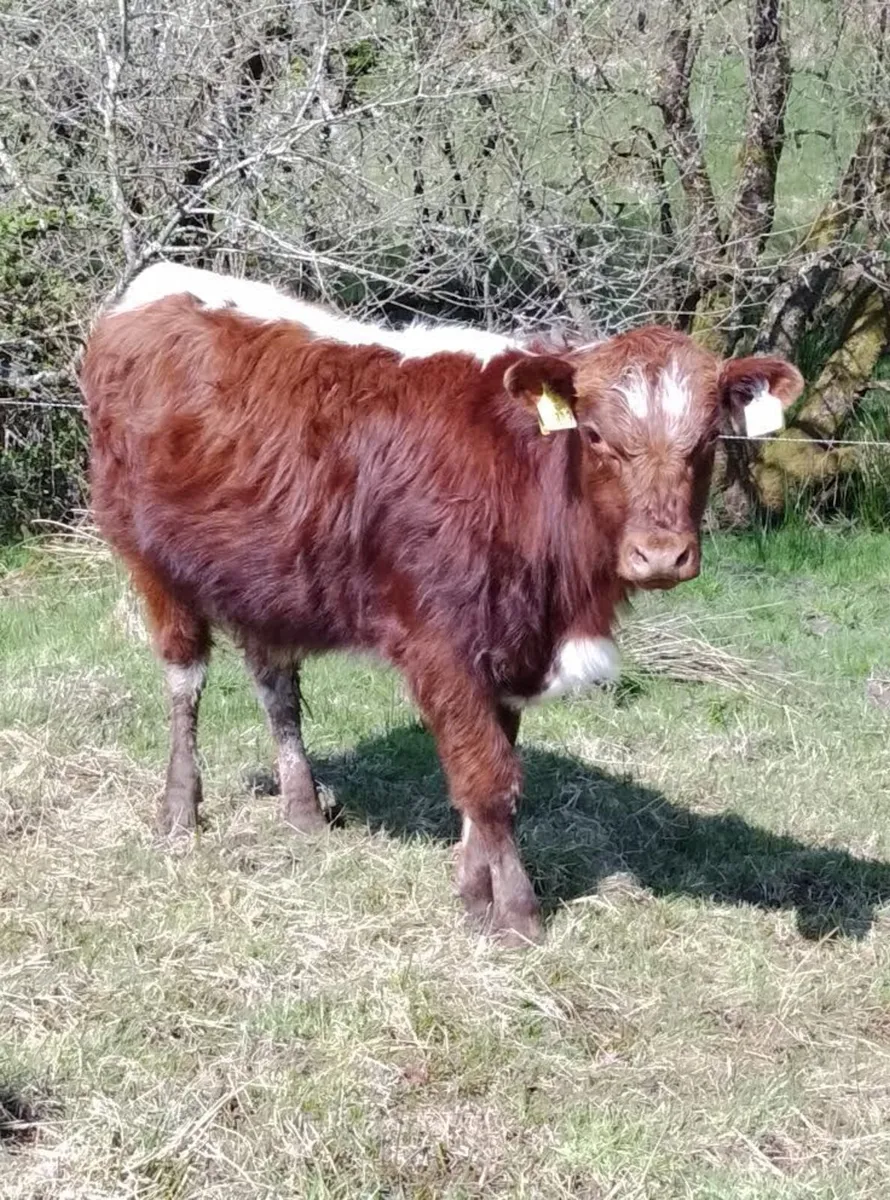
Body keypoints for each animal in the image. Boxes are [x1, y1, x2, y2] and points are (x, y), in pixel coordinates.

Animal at [80, 263, 804, 946]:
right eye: (596, 436)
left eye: (707, 439)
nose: (660, 554)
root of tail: (161, 285)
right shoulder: (440, 645)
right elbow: (487, 779)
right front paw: (516, 914)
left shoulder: (508, 645)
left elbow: (490, 771)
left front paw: (474, 891)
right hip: (152, 561)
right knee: (185, 679)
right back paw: (180, 810)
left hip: (266, 577)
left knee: (275, 684)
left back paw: (304, 810)